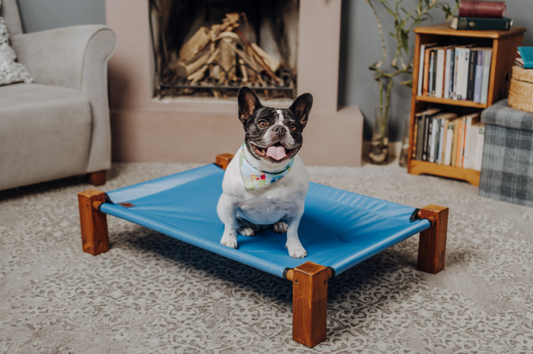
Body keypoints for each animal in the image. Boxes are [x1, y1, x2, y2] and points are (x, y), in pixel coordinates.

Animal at [217, 85, 312, 258]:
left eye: (293, 127)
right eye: (262, 123)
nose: (280, 129)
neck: (267, 173)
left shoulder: (297, 207)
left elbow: (293, 231)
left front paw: (295, 247)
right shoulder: (230, 202)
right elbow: (230, 223)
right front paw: (229, 239)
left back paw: (279, 224)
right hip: (222, 205)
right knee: (236, 222)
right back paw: (246, 228)